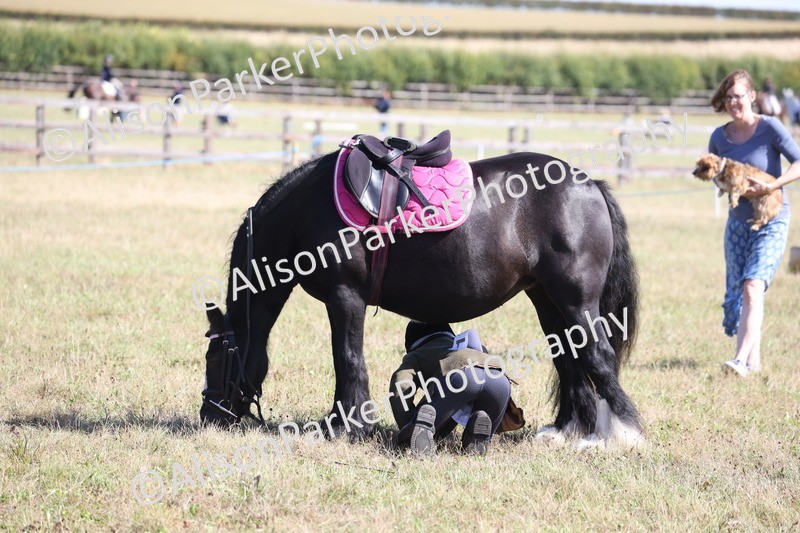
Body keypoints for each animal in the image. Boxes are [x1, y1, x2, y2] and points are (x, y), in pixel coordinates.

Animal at [200, 150, 644, 449]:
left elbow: (347, 359)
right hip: (548, 301)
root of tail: (589, 184)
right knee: (569, 357)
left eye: (216, 357)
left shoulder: (345, 297)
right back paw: (567, 431)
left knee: (598, 356)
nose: (210, 416)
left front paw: (345, 426)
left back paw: (621, 435)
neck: (309, 209)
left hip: (575, 300)